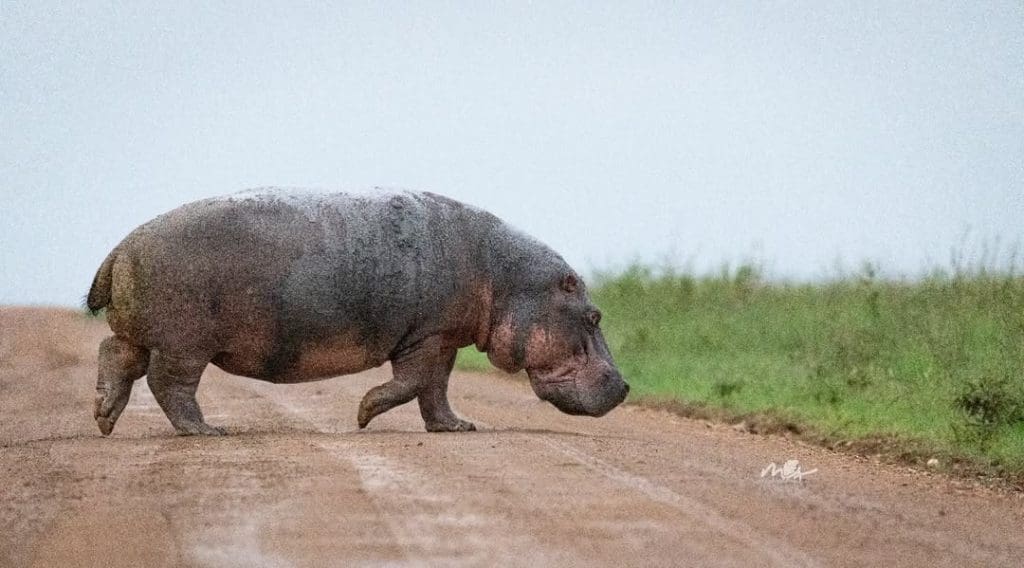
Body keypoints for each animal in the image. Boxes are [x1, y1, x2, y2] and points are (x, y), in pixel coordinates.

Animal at [86, 189, 628, 435]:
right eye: (595, 316)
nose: (624, 386)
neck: (506, 279)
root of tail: (121, 246)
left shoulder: (443, 337)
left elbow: (436, 390)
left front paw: (458, 428)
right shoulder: (428, 336)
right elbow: (414, 382)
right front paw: (364, 415)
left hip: (145, 334)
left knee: (115, 355)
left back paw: (104, 419)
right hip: (183, 343)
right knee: (169, 384)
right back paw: (208, 431)